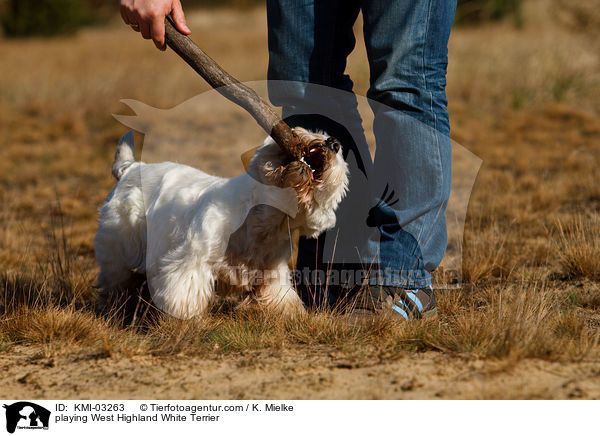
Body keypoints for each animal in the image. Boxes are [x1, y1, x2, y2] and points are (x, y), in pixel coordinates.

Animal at [92, 127, 346, 318]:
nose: (334, 142)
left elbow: (280, 299)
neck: (263, 220)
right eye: (314, 130)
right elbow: (183, 293)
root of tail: (132, 168)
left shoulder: (272, 273)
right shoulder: (192, 261)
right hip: (119, 248)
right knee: (115, 280)